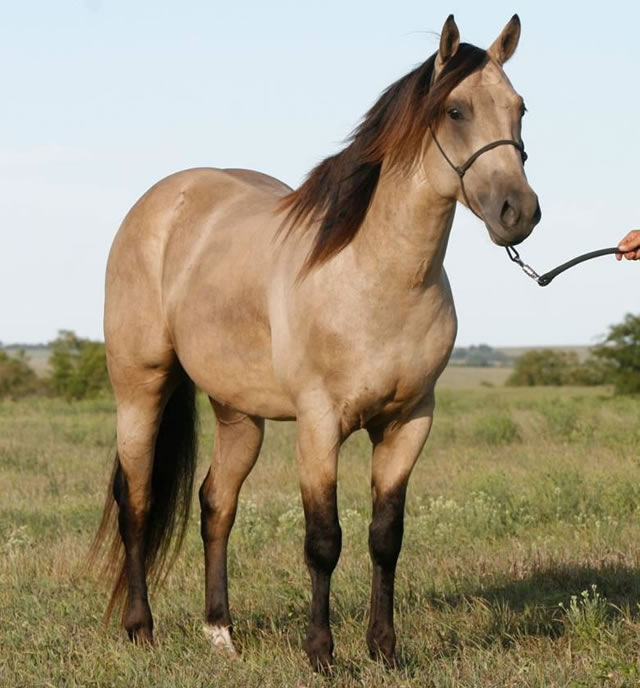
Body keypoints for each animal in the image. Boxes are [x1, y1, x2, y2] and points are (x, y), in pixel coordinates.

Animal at [90, 14, 541, 670]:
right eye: (455, 110)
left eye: (519, 108)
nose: (518, 212)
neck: (374, 276)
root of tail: (160, 204)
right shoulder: (320, 424)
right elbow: (324, 540)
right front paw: (322, 653)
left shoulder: (408, 422)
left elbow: (385, 538)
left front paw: (384, 649)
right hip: (140, 389)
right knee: (139, 502)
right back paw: (141, 629)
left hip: (239, 413)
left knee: (215, 503)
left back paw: (221, 633)